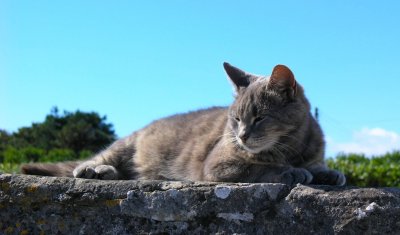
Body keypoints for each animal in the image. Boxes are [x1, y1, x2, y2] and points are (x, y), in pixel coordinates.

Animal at [21, 62, 346, 185]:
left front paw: (328, 174)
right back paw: (94, 169)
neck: (291, 146)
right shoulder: (219, 165)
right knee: (95, 159)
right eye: (236, 119)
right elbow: (262, 168)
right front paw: (293, 171)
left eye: (260, 117)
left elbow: (318, 167)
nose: (241, 136)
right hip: (124, 145)